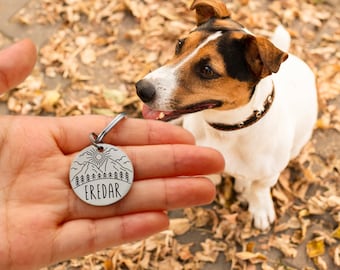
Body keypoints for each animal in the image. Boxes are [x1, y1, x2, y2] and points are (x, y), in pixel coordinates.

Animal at [135, 0, 318, 230]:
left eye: (207, 70)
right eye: (179, 44)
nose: (141, 89)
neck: (226, 130)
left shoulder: (269, 174)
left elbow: (259, 188)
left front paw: (259, 207)